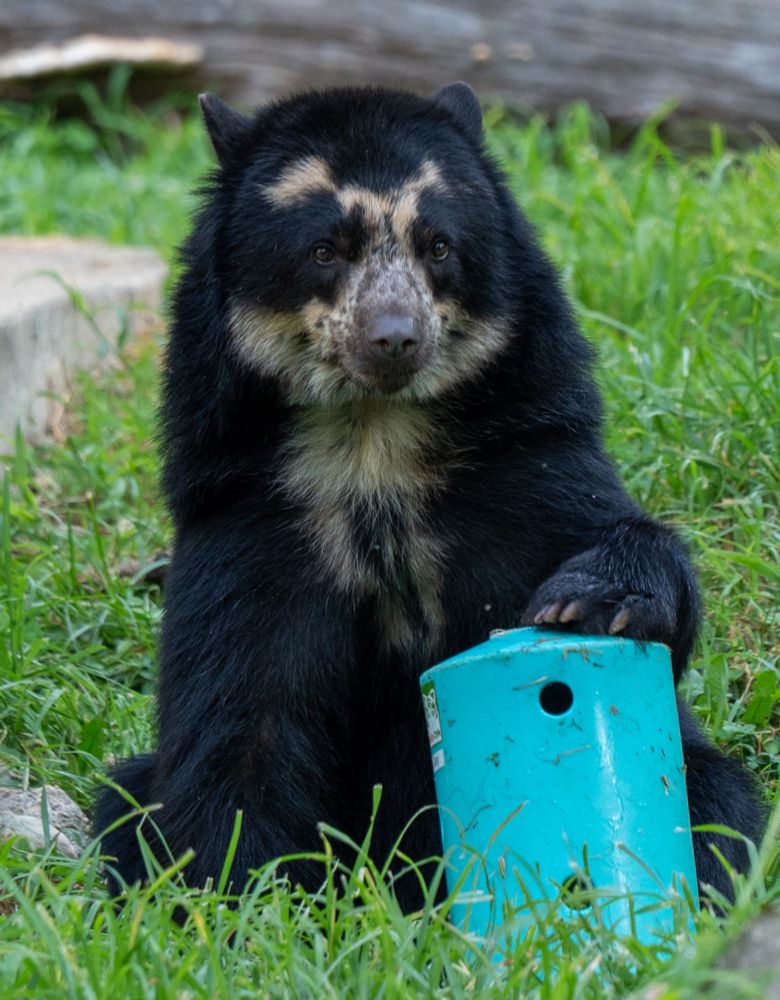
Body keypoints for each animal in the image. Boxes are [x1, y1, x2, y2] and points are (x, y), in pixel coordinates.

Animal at [96, 83, 764, 911]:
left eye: (438, 245)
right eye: (325, 249)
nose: (394, 337)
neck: (374, 444)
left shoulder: (523, 461)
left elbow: (614, 549)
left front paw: (591, 600)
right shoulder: (253, 516)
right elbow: (240, 720)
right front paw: (240, 901)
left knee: (718, 802)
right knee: (123, 802)